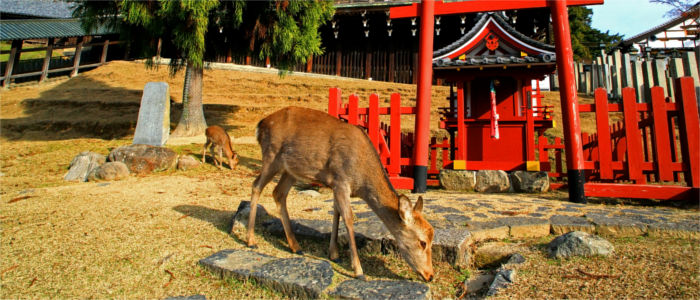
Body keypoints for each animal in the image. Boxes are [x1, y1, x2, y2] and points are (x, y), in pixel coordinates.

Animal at [245, 106, 432, 282]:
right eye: (422, 242)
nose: (430, 275)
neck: (361, 180)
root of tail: (260, 125)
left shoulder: (335, 184)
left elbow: (336, 213)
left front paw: (334, 254)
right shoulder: (341, 180)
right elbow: (348, 217)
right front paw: (358, 271)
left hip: (290, 170)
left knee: (278, 193)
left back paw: (295, 246)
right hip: (271, 157)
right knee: (256, 186)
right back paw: (251, 241)